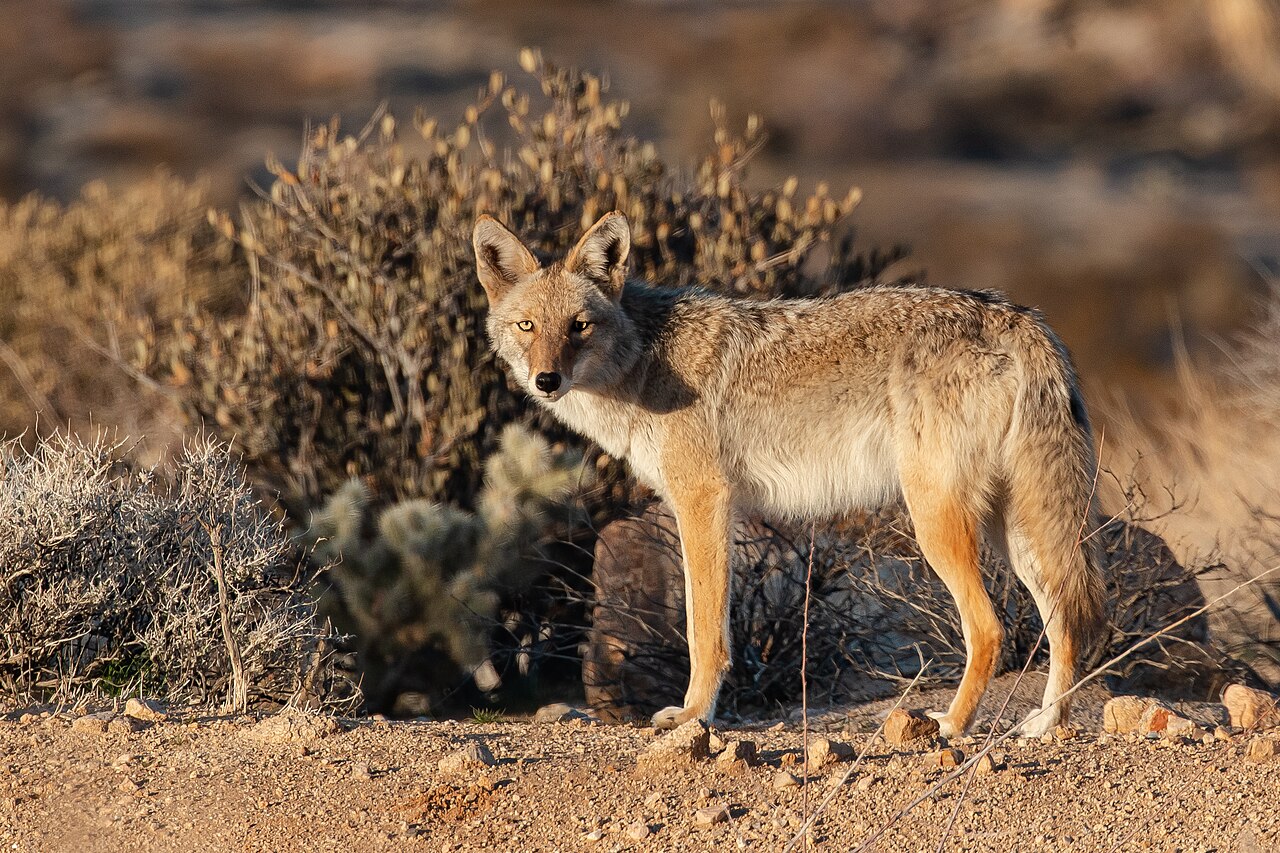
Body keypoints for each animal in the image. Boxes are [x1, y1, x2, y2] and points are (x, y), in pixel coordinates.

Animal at [472, 211, 1107, 737]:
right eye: (528, 327)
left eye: (579, 326)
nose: (546, 380)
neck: (643, 363)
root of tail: (1015, 315)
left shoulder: (703, 501)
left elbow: (705, 632)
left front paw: (694, 715)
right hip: (1015, 530)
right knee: (1067, 619)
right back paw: (1045, 724)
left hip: (939, 524)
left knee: (992, 629)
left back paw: (949, 725)